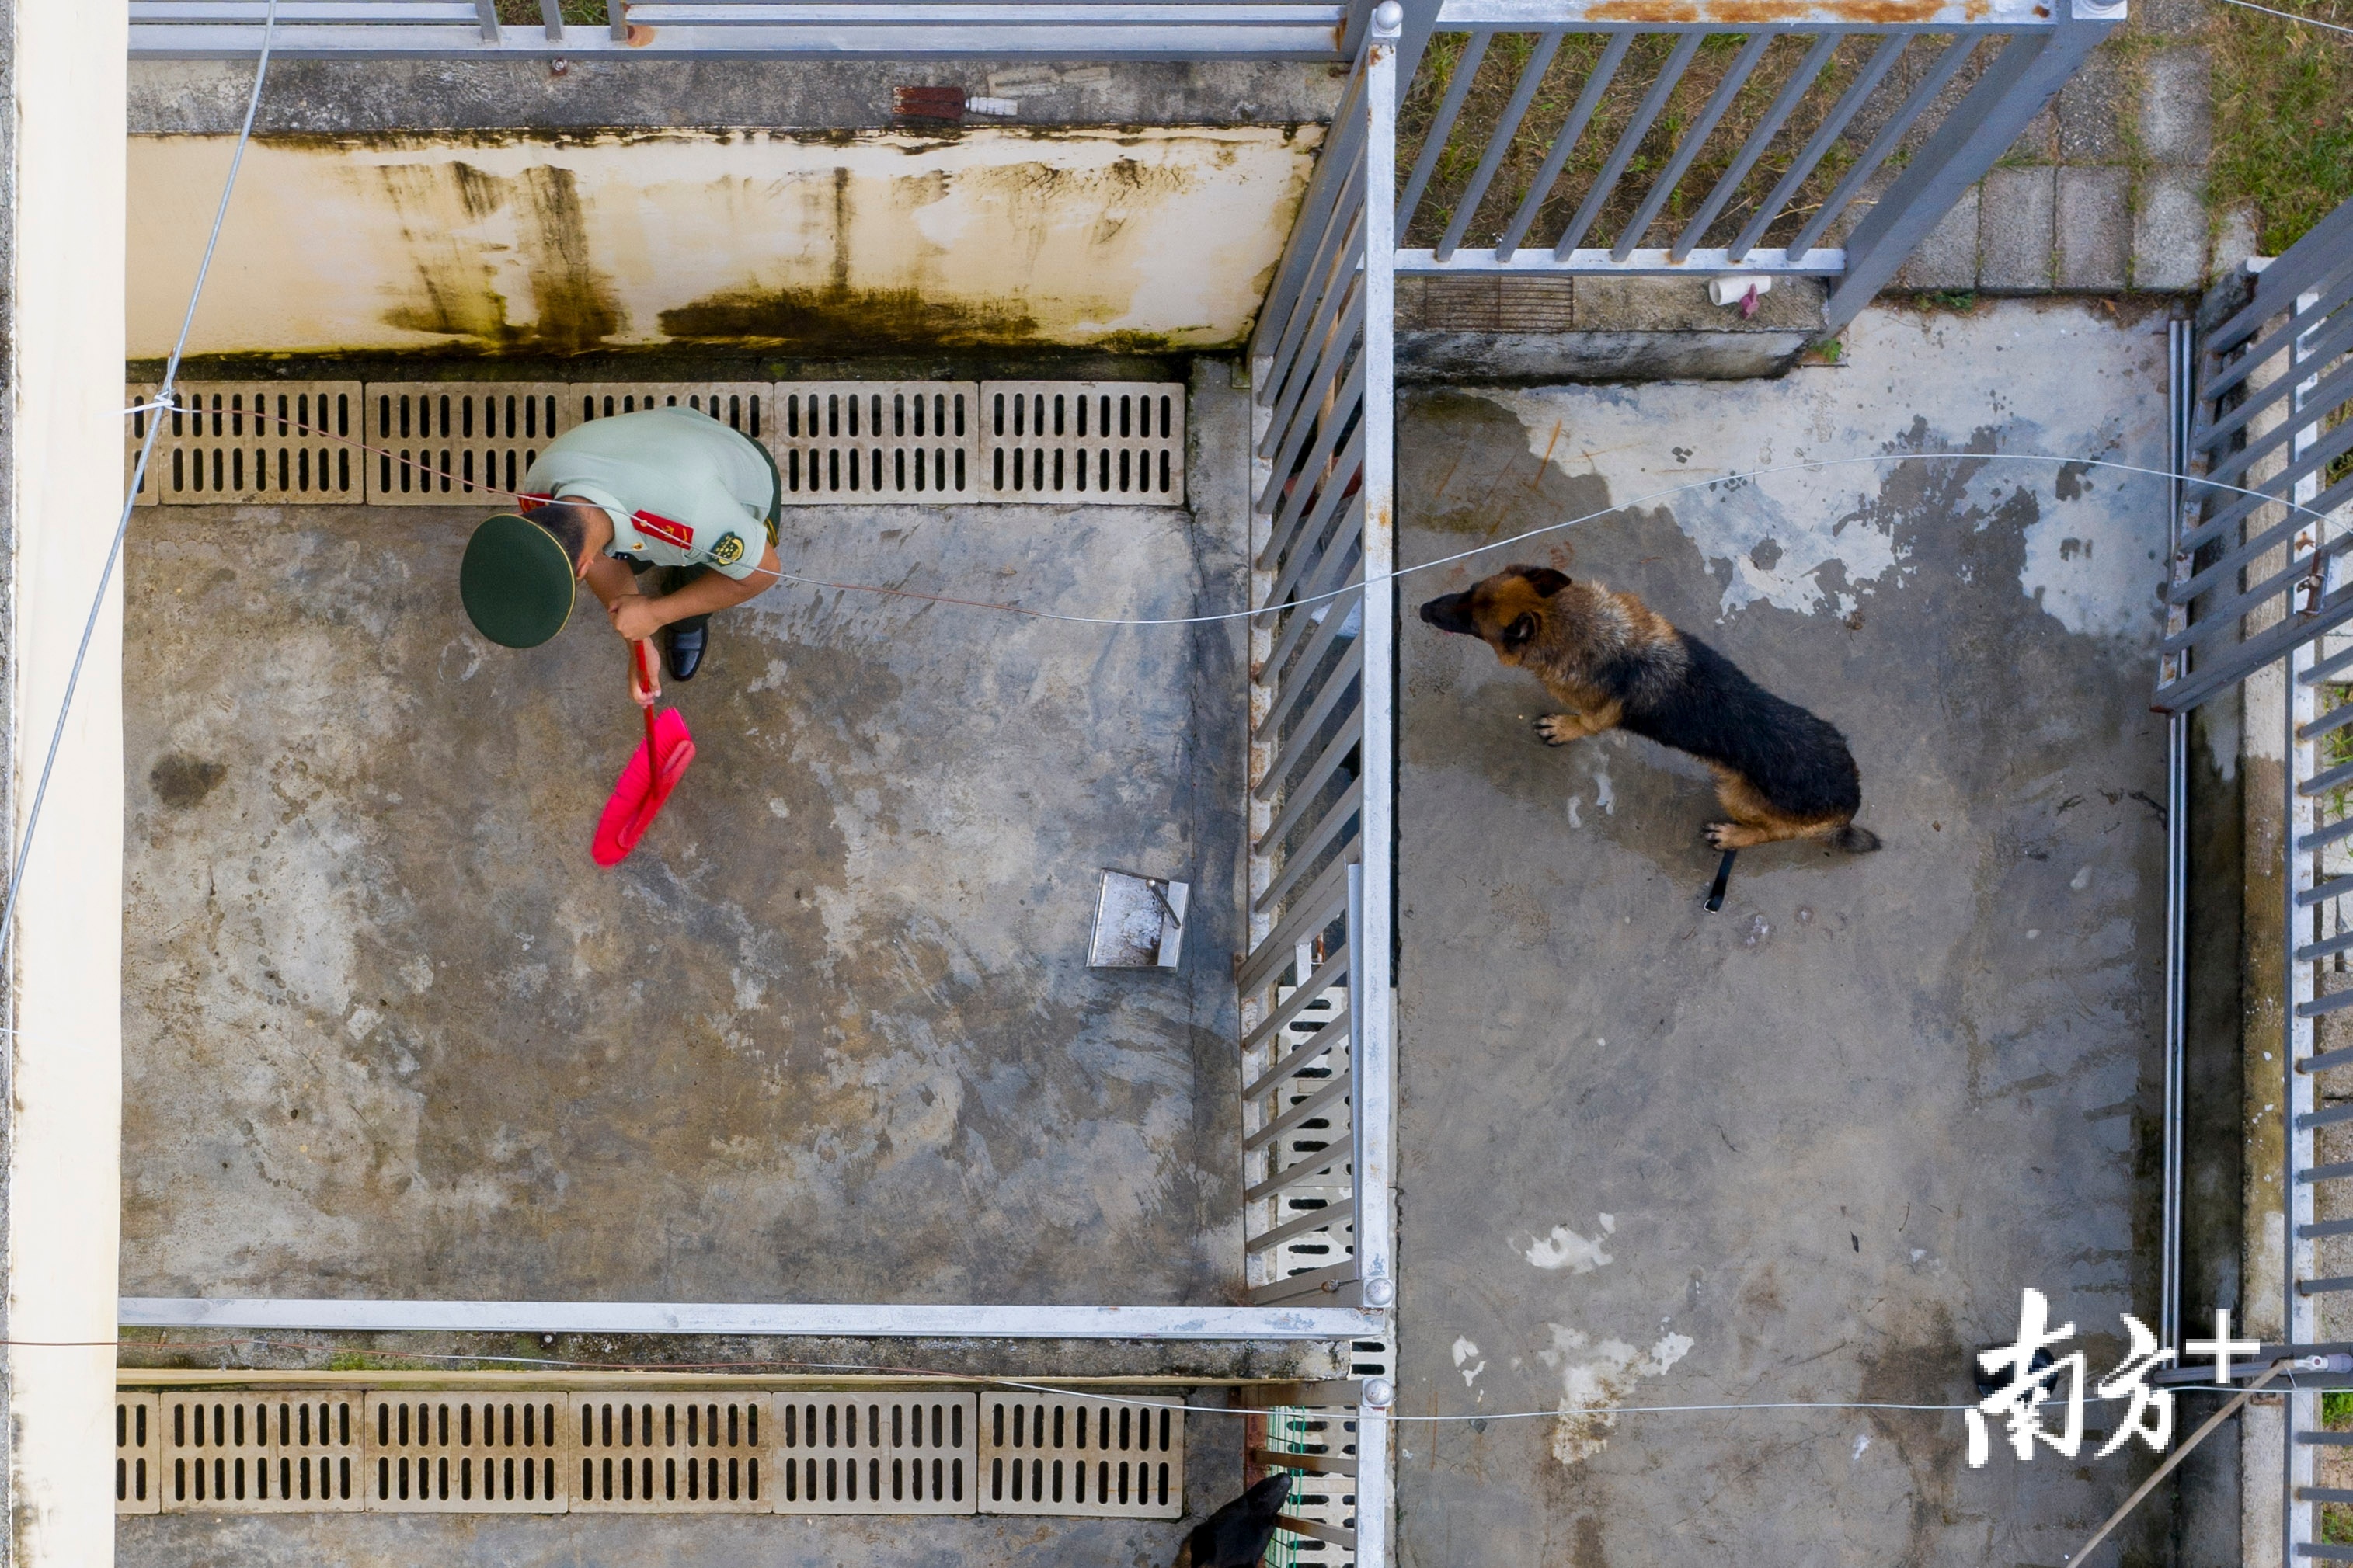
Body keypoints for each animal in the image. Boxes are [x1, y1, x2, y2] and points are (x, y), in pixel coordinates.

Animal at [1411, 566, 1892, 860]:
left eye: (1473, 626)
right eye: (1469, 590)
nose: (1421, 609)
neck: (1583, 628)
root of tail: (1850, 802)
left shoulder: (1599, 716)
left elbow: (1585, 724)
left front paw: (1564, 728)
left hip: (1736, 795)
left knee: (1770, 833)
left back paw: (1735, 835)